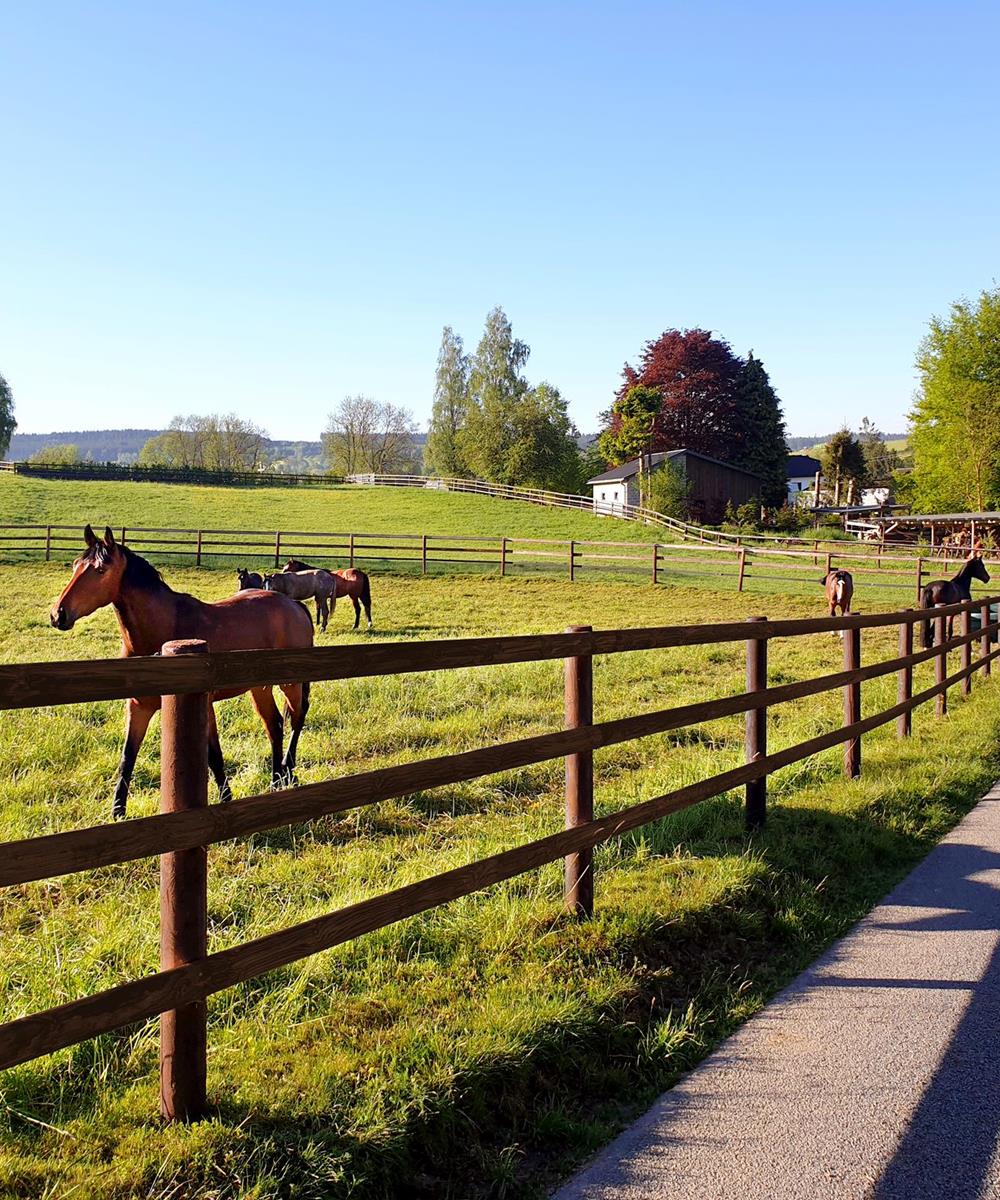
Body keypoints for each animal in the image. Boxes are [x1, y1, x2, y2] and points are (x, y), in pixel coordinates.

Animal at [46, 525, 309, 816]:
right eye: (75, 565)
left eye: (101, 570)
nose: (58, 614)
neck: (164, 632)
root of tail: (295, 606)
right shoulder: (139, 707)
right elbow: (127, 757)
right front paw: (117, 811)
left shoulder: (204, 705)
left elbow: (213, 755)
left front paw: (225, 799)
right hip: (259, 688)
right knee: (274, 724)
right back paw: (276, 780)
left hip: (291, 683)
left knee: (297, 718)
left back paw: (289, 771)